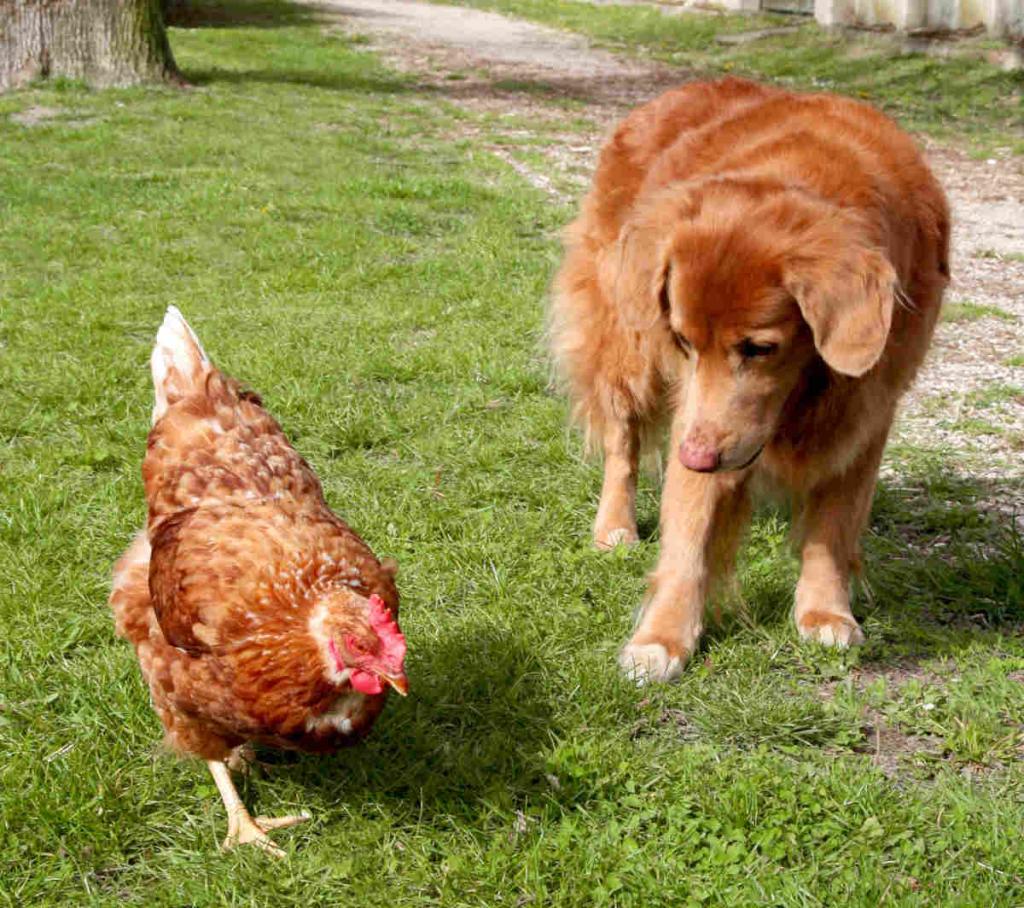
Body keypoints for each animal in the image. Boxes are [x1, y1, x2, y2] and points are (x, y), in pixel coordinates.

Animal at [557, 78, 946, 679]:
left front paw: (824, 610)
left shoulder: (868, 410)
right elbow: (688, 535)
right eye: (685, 341)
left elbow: (833, 526)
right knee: (622, 439)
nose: (696, 457)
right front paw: (663, 637)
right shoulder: (698, 411)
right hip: (626, 343)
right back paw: (615, 527)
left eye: (760, 349)